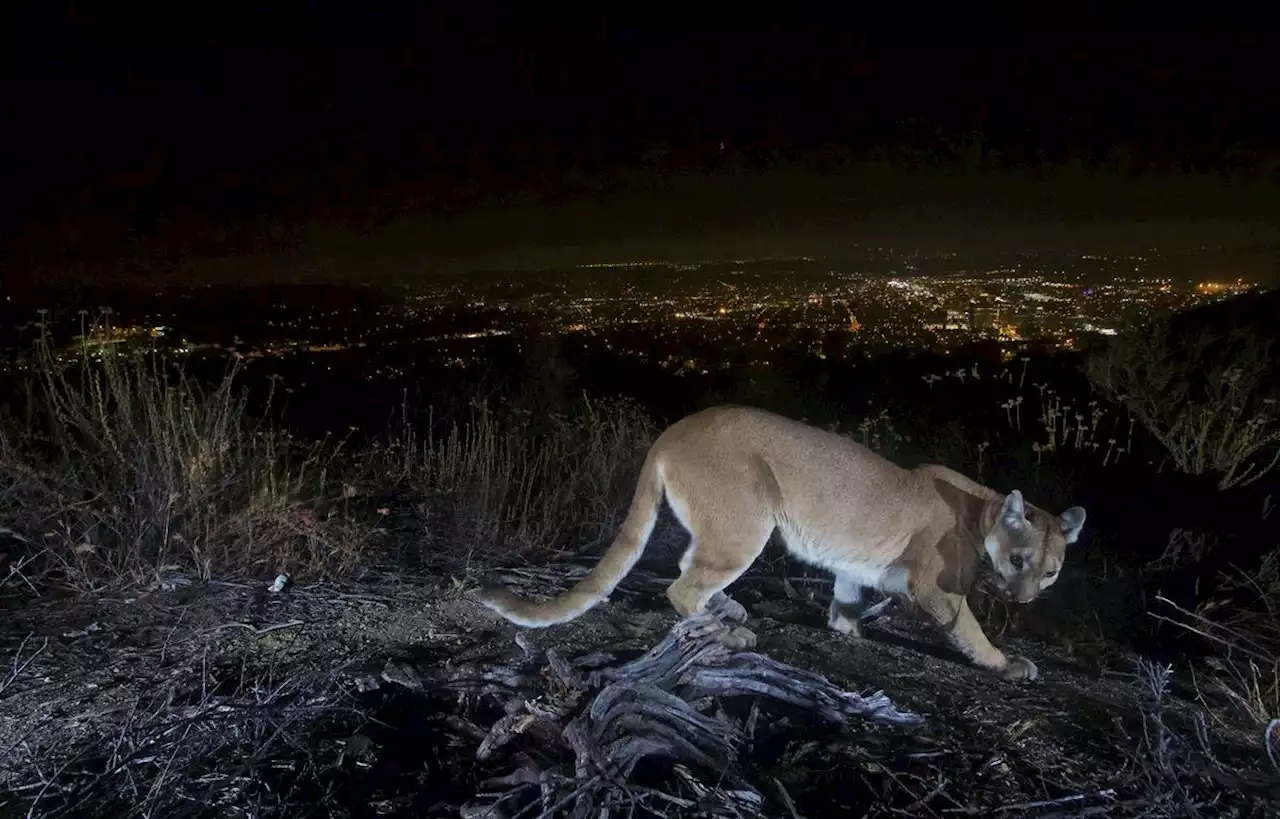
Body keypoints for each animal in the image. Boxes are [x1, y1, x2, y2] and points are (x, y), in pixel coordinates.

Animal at [476, 404, 1085, 675]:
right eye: (1019, 559)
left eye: (1051, 570)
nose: (1025, 597)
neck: (982, 510)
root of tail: (672, 430)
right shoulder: (938, 588)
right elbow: (968, 628)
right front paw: (1005, 663)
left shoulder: (855, 566)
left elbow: (846, 598)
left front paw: (847, 629)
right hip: (749, 520)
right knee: (682, 584)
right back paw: (728, 632)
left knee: (689, 567)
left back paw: (729, 611)